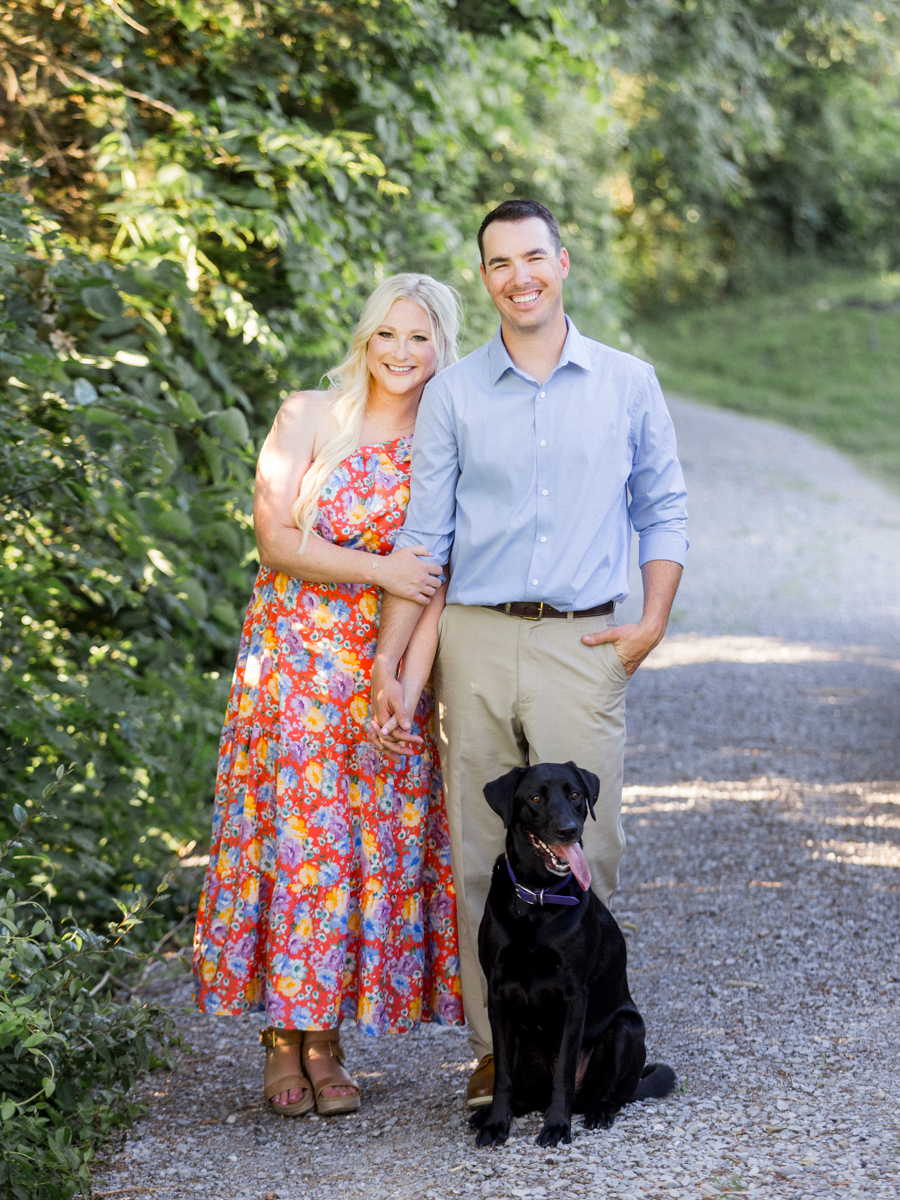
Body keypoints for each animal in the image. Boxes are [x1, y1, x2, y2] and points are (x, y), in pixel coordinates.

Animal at [472, 763, 676, 1147]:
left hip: (627, 1029)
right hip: (523, 1040)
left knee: (613, 1095)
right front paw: (495, 1124)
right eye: (536, 798)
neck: (537, 899)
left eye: (576, 795)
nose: (569, 830)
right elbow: (502, 1075)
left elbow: (565, 1071)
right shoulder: (498, 994)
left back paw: (599, 1112)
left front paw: (556, 1126)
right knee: (526, 1094)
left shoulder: (574, 994)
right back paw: (487, 1114)